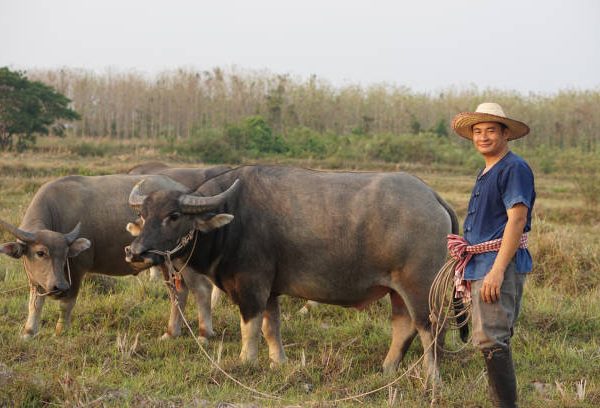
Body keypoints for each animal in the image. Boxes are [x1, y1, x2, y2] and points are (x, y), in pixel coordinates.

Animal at [0, 167, 227, 342]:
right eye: (40, 252)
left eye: (65, 254)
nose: (59, 287)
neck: (57, 211)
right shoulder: (34, 277)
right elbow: (34, 303)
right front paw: (29, 331)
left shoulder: (77, 268)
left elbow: (66, 303)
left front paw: (60, 331)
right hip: (166, 261)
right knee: (178, 293)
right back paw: (171, 333)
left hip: (183, 259)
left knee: (201, 289)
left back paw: (204, 334)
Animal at [124, 164, 458, 380]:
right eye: (143, 214)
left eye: (174, 216)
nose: (134, 252)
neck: (233, 219)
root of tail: (432, 196)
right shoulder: (270, 290)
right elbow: (271, 328)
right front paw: (277, 362)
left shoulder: (252, 286)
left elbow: (250, 328)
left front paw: (247, 362)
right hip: (396, 291)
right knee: (404, 326)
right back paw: (387, 370)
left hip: (420, 287)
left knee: (431, 327)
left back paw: (432, 377)